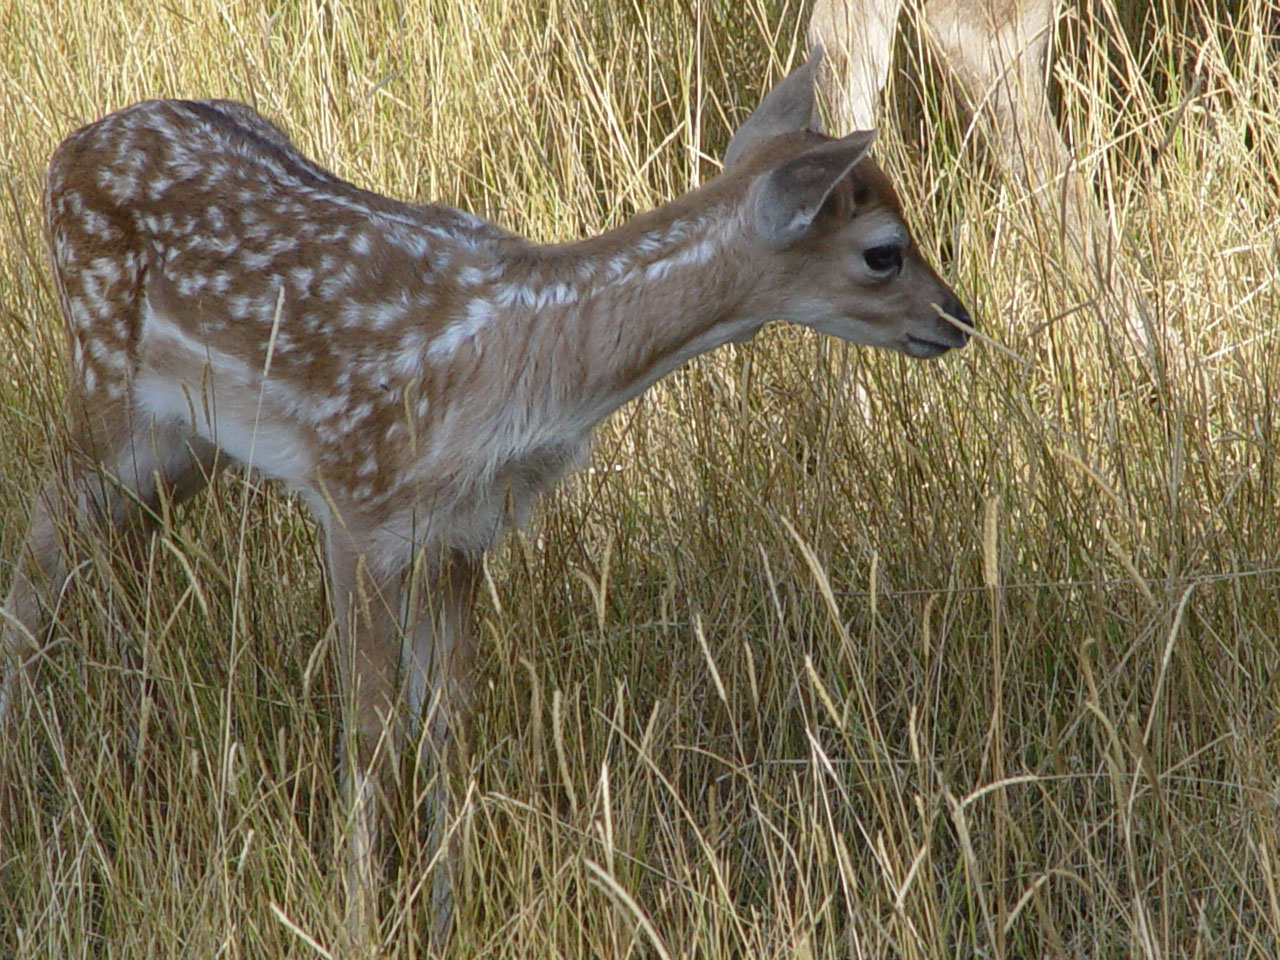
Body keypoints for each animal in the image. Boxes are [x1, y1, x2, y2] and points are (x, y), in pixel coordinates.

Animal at [2, 47, 967, 931]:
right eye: (884, 253)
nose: (958, 320)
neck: (517, 370)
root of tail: (68, 149)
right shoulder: (355, 502)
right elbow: (370, 738)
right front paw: (361, 923)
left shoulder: (463, 532)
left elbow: (448, 730)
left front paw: (447, 918)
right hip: (104, 381)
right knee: (40, 552)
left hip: (186, 442)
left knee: (113, 550)